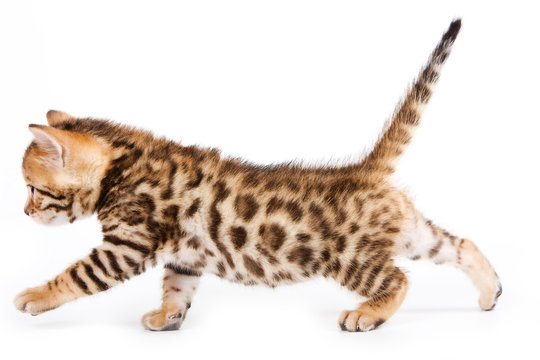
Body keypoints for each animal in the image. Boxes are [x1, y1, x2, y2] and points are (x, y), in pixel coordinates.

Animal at [13, 19, 502, 330]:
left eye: (34, 189)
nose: (24, 213)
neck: (123, 161)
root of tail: (364, 170)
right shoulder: (184, 255)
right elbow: (177, 286)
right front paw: (169, 316)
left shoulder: (126, 245)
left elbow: (77, 275)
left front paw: (35, 296)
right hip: (409, 232)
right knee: (460, 244)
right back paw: (489, 290)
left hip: (346, 257)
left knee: (399, 280)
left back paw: (368, 313)